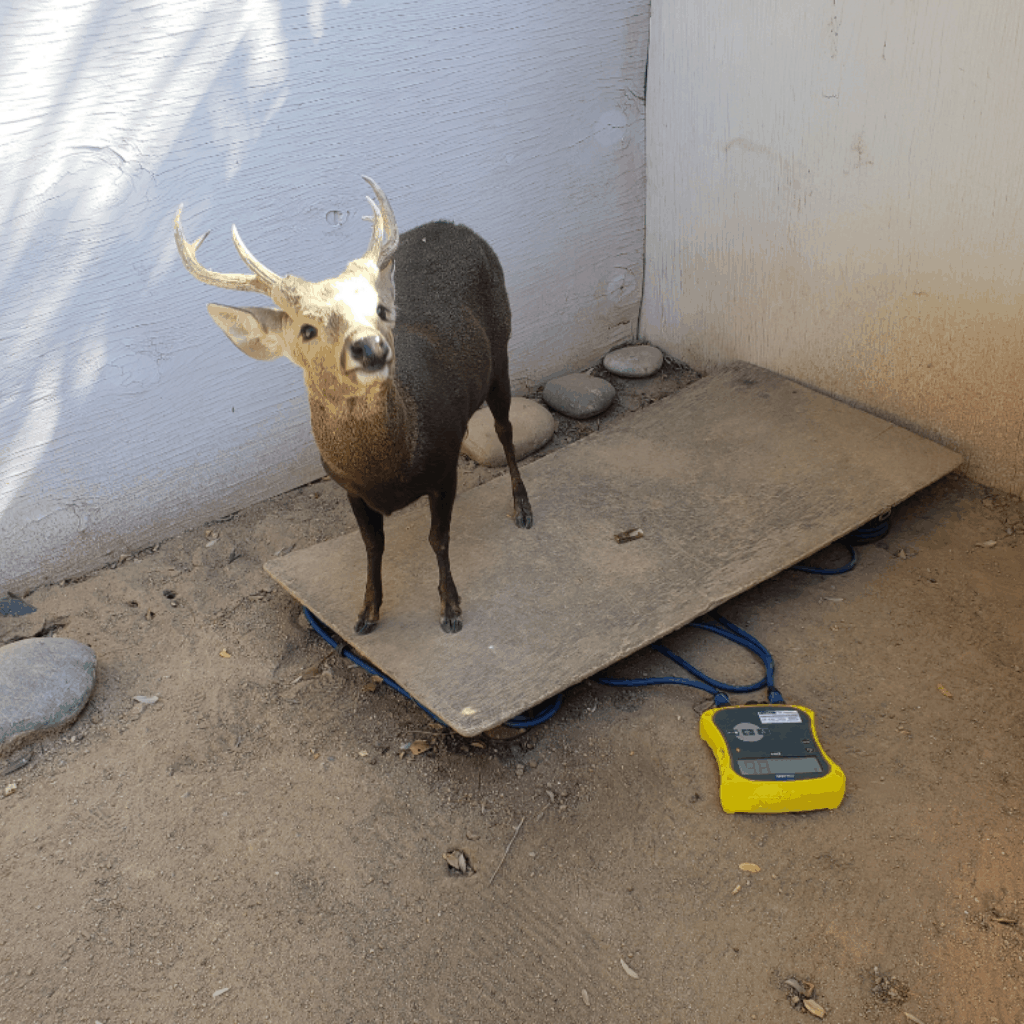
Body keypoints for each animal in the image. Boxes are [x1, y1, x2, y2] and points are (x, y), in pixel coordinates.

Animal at [174, 177, 533, 635]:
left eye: (381, 311)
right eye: (307, 329)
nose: (370, 346)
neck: (388, 471)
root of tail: (456, 225)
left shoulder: (442, 467)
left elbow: (438, 539)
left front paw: (450, 608)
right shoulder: (348, 487)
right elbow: (372, 546)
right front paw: (367, 612)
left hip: (502, 344)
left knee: (505, 429)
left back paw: (523, 507)